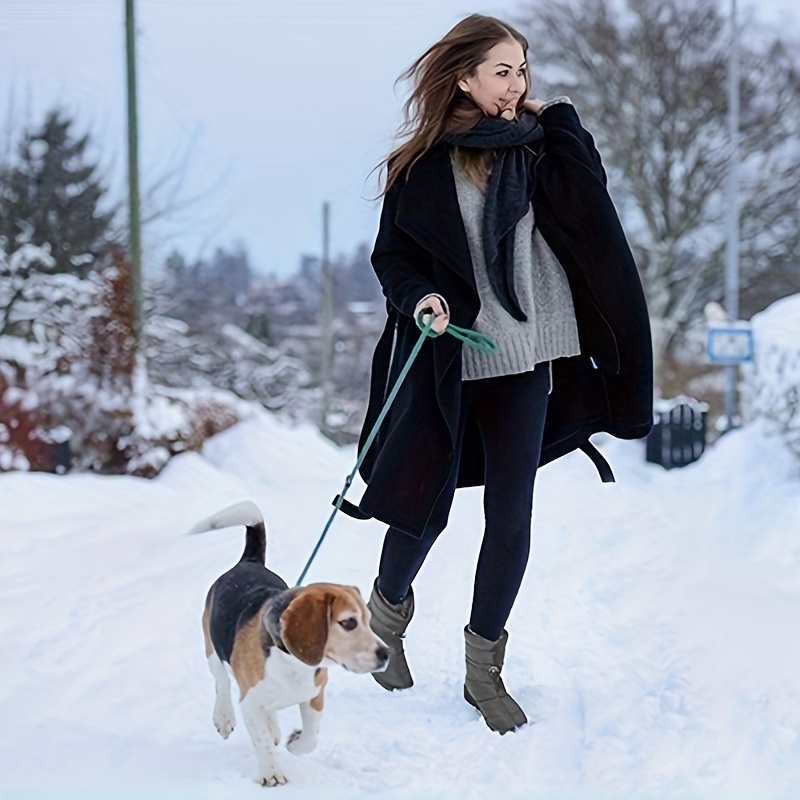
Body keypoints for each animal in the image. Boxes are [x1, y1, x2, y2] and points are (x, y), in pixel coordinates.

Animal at [195, 500, 392, 788]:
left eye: (368, 620)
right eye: (348, 623)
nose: (386, 654)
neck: (292, 661)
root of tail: (249, 561)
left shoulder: (314, 697)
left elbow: (310, 739)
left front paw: (294, 741)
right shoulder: (250, 703)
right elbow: (262, 740)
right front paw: (271, 773)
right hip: (213, 650)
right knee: (221, 683)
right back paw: (224, 717)